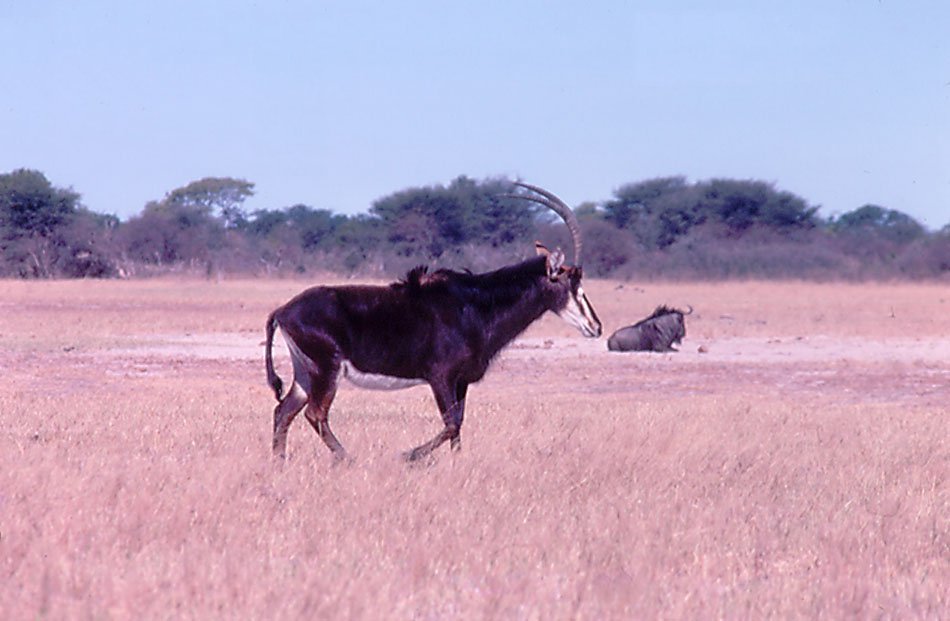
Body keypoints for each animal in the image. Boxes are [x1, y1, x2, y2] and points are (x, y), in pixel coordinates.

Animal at [264, 182, 602, 461]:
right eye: (572, 282)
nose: (596, 327)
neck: (475, 306)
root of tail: (282, 310)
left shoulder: (461, 381)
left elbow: (459, 426)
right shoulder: (441, 376)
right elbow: (451, 424)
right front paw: (408, 455)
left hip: (306, 373)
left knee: (284, 411)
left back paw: (280, 463)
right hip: (326, 371)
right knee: (315, 414)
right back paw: (347, 459)